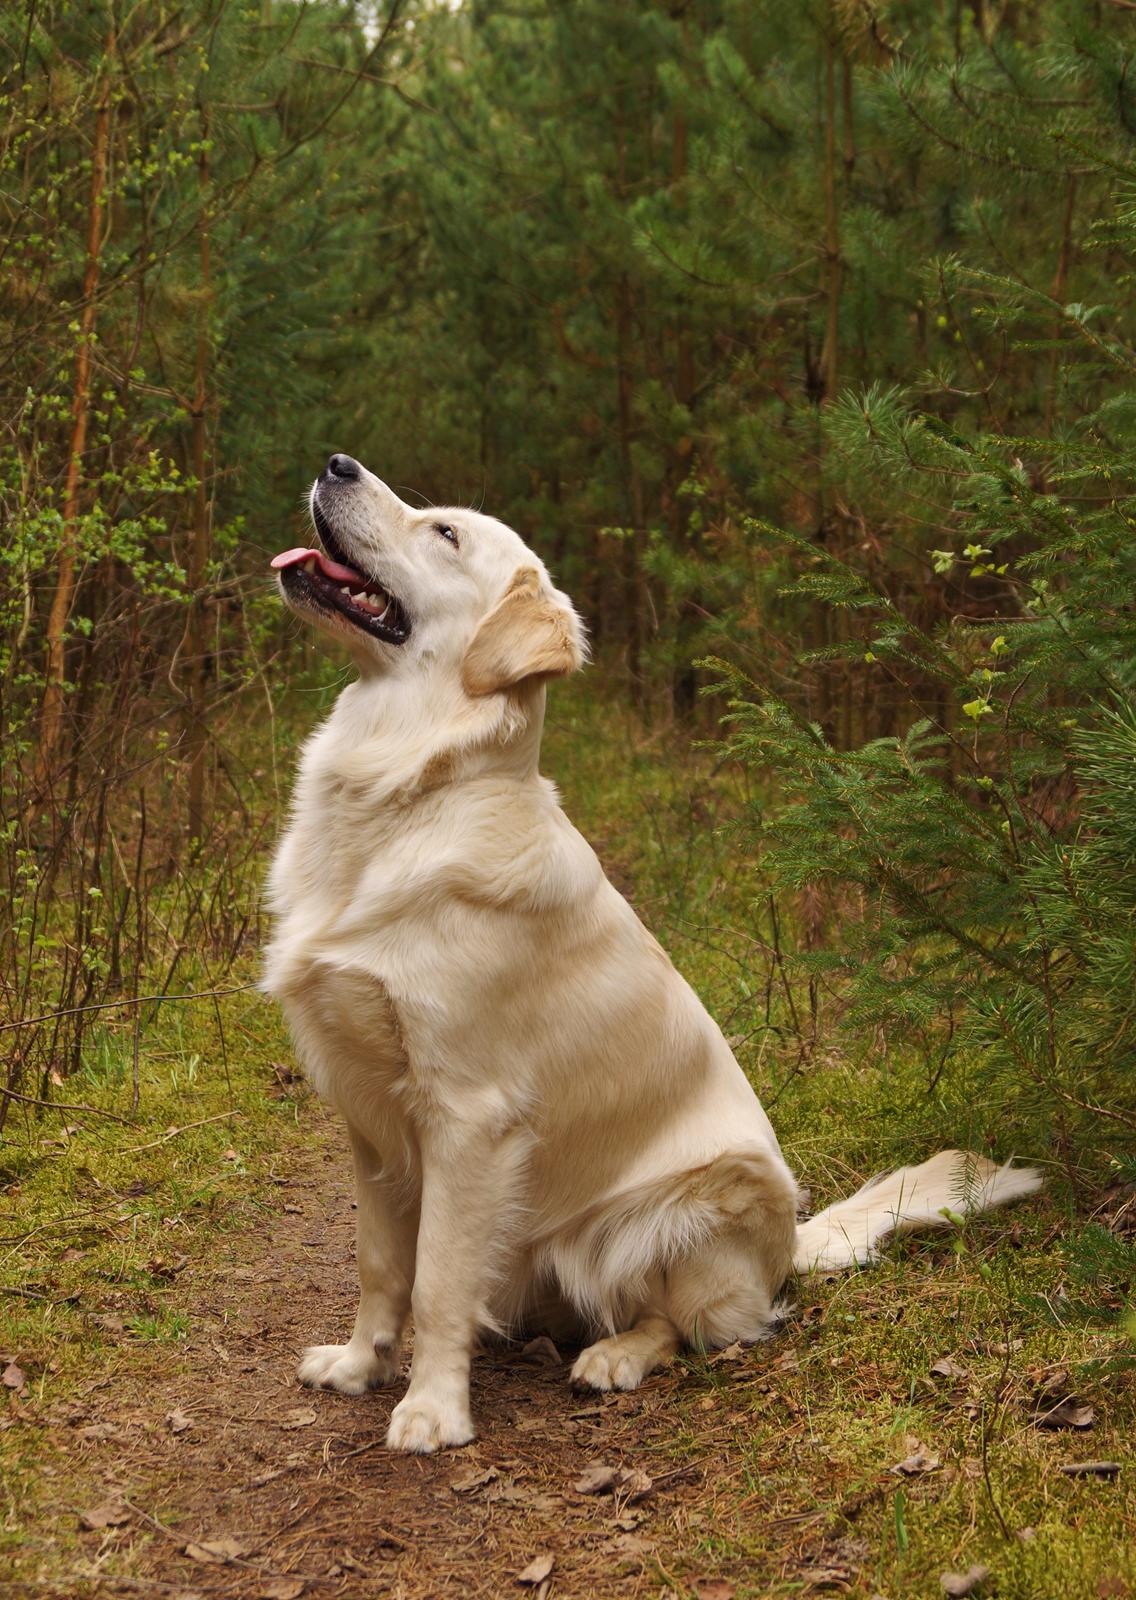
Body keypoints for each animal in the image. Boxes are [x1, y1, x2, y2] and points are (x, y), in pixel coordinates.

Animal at [262, 457, 1043, 1459]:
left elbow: (435, 1280)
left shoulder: (467, 1114)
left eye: (444, 534)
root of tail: (790, 1245)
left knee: (703, 1325)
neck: (408, 789)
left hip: (698, 1203)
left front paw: (433, 1408)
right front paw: (360, 1367)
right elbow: (380, 1266)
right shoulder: (367, 1111)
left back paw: (617, 1357)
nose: (336, 465)